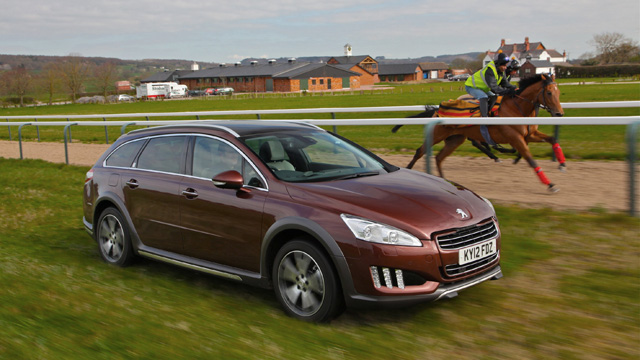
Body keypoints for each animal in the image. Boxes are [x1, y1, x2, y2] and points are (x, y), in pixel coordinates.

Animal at [396, 74, 564, 193]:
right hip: (438, 135)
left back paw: (444, 181)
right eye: (549, 93)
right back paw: (409, 171)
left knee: (439, 157)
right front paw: (550, 184)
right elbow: (531, 160)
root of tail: (438, 110)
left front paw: (562, 164)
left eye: (559, 93)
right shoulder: (516, 138)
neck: (518, 108)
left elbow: (552, 139)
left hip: (455, 139)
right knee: (420, 151)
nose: (559, 114)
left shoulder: (530, 134)